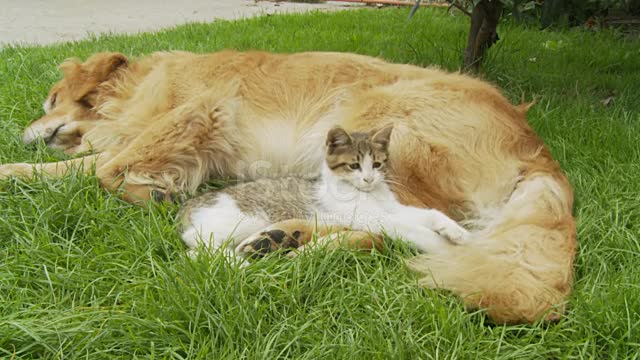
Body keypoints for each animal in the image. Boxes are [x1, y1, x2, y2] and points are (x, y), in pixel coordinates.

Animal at [0, 50, 576, 324]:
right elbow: (85, 165)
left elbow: (104, 166)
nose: (24, 131)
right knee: (382, 234)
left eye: (52, 99)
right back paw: (282, 240)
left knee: (391, 232)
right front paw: (17, 169)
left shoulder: (201, 110)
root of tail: (536, 149)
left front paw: (149, 191)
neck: (136, 87)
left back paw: (284, 241)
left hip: (374, 126)